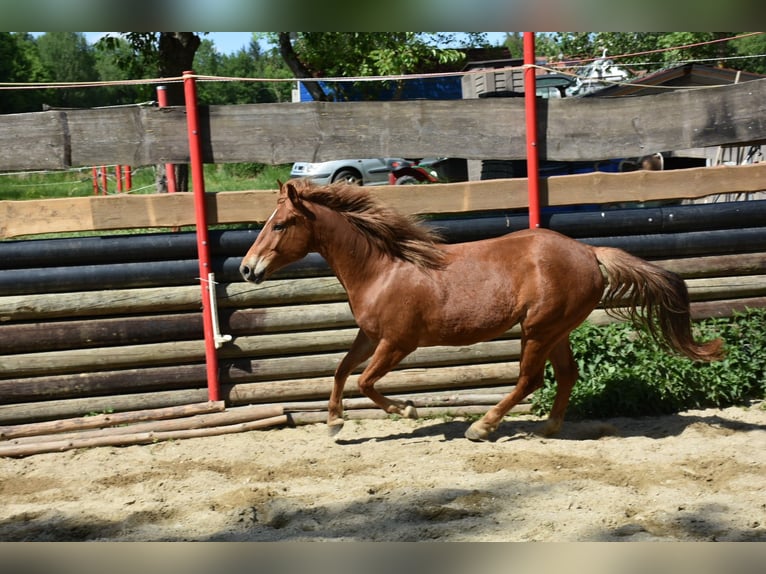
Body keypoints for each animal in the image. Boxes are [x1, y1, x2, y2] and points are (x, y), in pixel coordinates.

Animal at [240, 179, 724, 441]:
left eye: (280, 224)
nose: (247, 268)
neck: (383, 268)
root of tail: (589, 252)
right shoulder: (371, 335)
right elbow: (341, 371)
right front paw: (334, 424)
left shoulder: (398, 342)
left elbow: (365, 381)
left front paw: (407, 410)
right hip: (556, 330)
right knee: (566, 375)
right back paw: (548, 428)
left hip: (537, 329)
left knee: (530, 379)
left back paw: (483, 427)